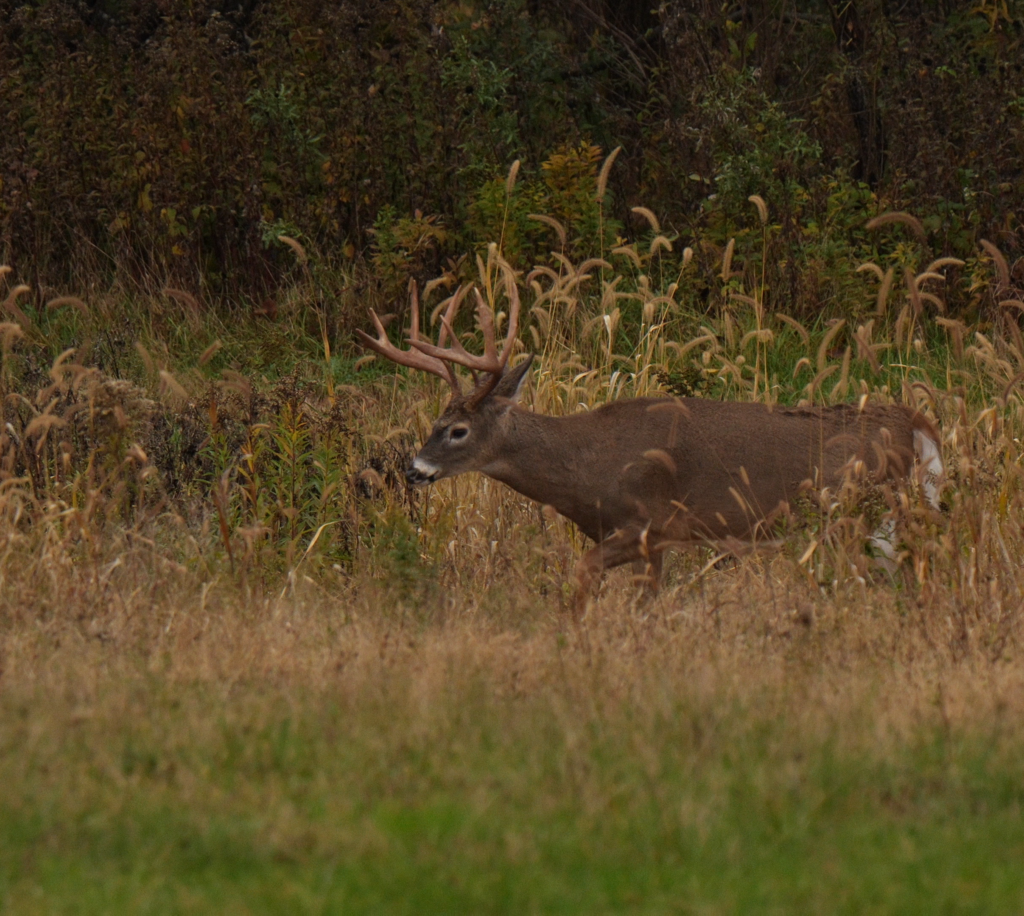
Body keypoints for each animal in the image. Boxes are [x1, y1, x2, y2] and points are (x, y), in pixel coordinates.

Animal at [357, 277, 944, 614]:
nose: (413, 469)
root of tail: (916, 422)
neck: (586, 466)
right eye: (435, 420)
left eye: (457, 430)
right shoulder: (655, 544)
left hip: (854, 512)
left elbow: (583, 576)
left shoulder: (644, 523)